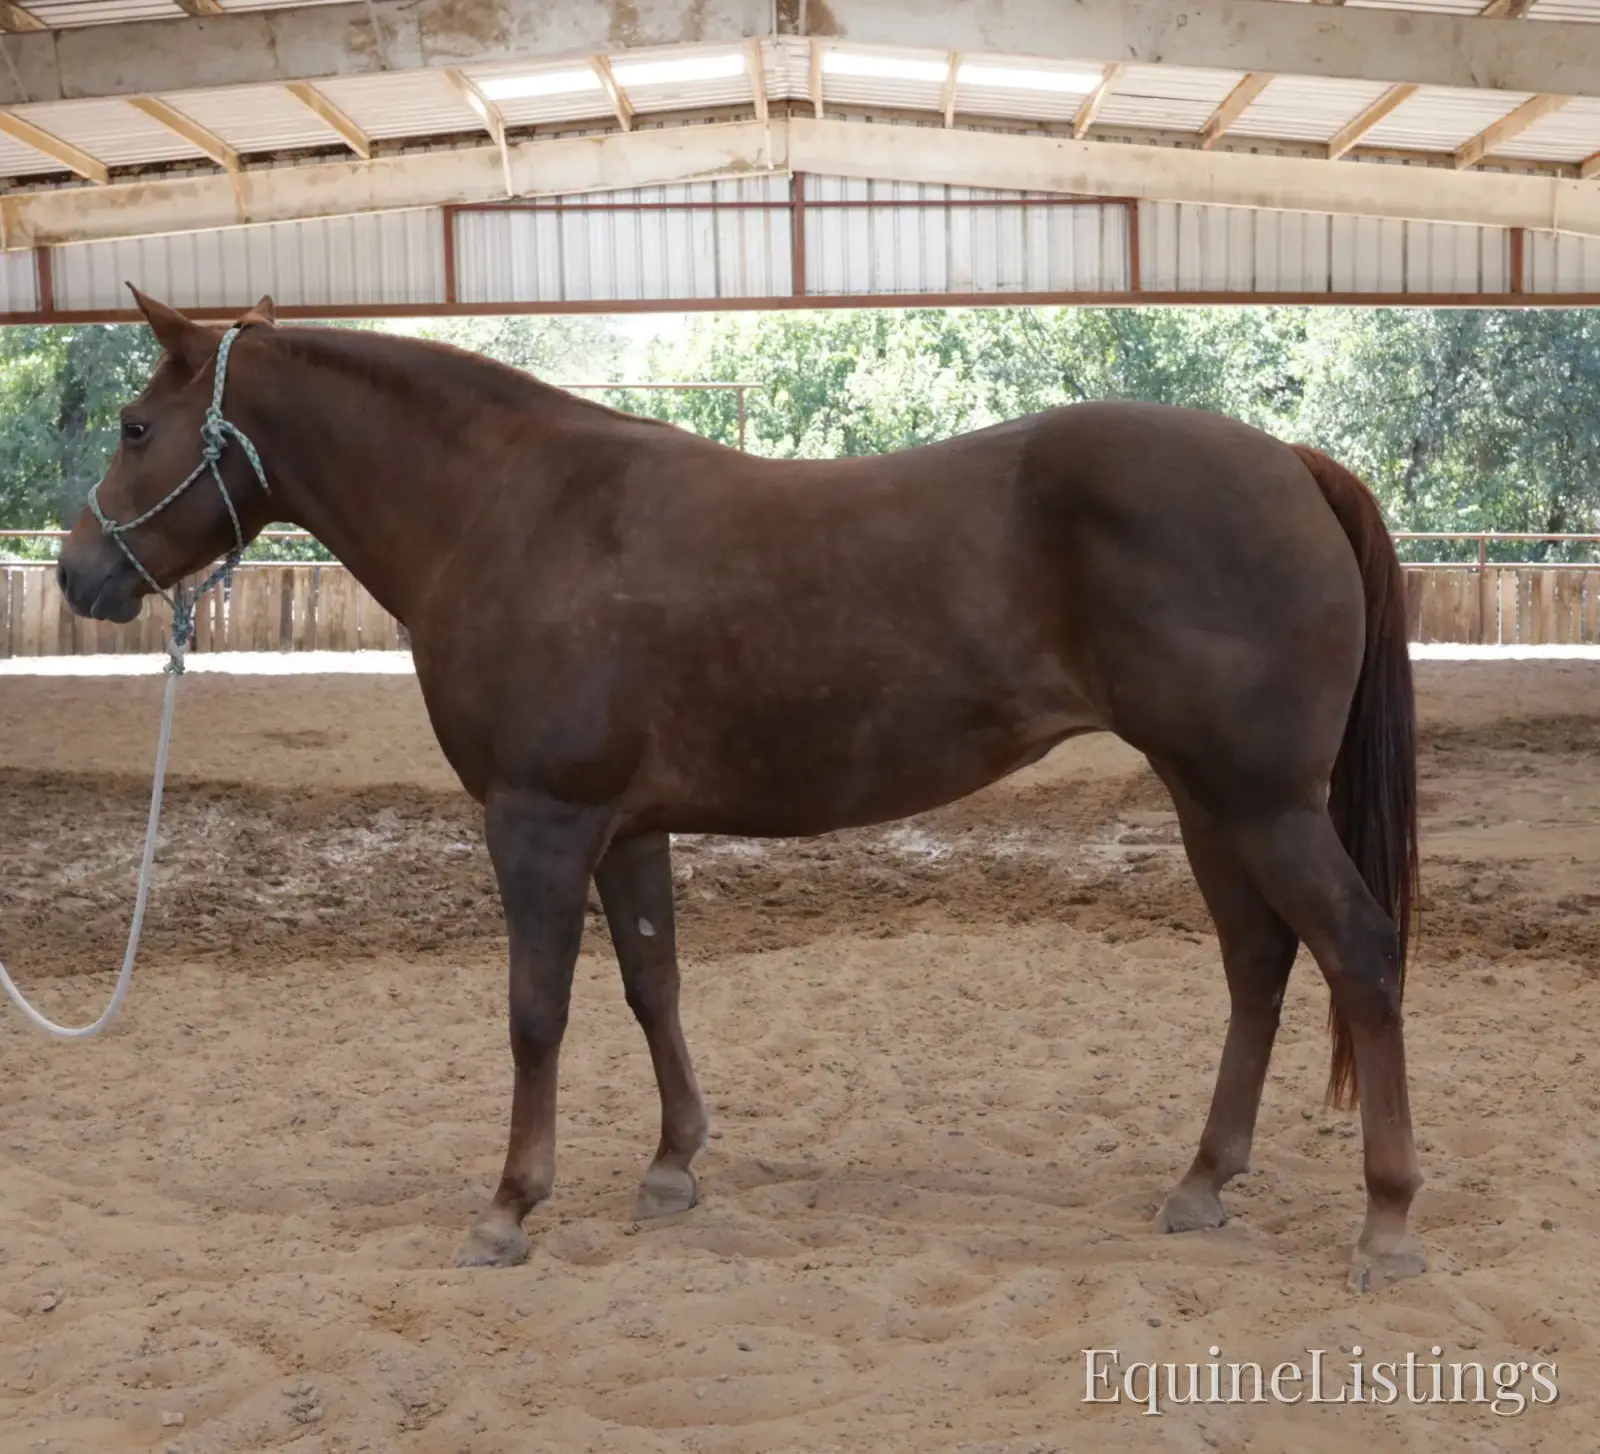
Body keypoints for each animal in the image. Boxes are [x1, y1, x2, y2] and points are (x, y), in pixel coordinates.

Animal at [57, 290, 1422, 1292]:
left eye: (132, 427)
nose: (77, 572)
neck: (513, 514)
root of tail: (1290, 463)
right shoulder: (624, 828)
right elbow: (651, 982)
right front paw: (672, 1164)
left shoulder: (539, 821)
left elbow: (536, 1011)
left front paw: (509, 1205)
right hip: (1209, 799)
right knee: (1259, 961)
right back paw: (1203, 1180)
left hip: (1261, 801)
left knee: (1356, 949)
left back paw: (1387, 1221)